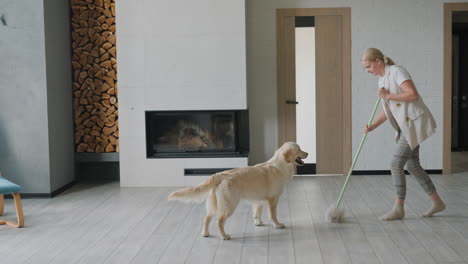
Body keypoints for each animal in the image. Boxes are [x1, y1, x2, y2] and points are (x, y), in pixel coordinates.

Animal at [168, 142, 308, 239]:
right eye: (299, 149)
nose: (308, 153)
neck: (280, 165)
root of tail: (219, 175)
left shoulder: (259, 200)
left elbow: (257, 212)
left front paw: (258, 222)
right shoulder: (273, 199)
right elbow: (273, 215)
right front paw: (278, 225)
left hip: (214, 204)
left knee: (207, 218)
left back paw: (205, 233)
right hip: (229, 205)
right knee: (219, 221)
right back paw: (224, 236)